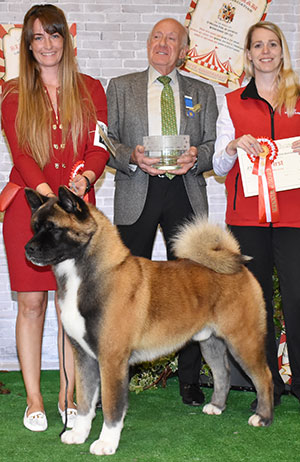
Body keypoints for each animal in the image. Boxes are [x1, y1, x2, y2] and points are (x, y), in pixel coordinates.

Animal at [24, 187, 274, 454]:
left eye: (54, 228)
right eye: (35, 227)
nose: (28, 248)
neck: (88, 275)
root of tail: (237, 265)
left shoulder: (111, 359)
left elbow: (112, 406)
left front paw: (106, 443)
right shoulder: (84, 357)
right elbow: (84, 402)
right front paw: (79, 434)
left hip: (243, 340)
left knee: (264, 377)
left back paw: (263, 417)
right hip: (211, 342)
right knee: (222, 373)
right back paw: (216, 406)